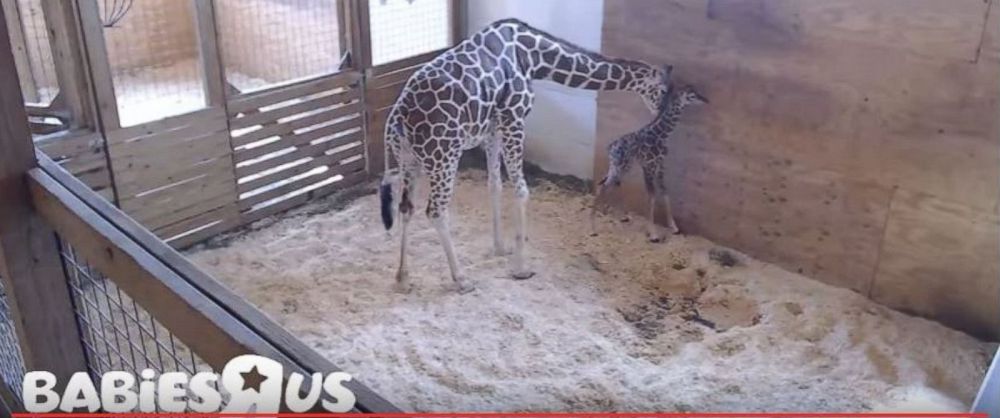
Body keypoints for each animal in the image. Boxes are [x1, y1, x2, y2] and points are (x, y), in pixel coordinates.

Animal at [378, 18, 673, 294]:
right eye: (662, 91)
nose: (660, 115)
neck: (533, 56)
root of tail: (398, 117)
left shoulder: (492, 129)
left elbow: (495, 185)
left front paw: (500, 248)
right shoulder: (514, 119)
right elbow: (521, 190)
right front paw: (521, 267)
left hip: (409, 160)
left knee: (406, 208)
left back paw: (402, 278)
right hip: (444, 157)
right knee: (436, 211)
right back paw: (461, 279)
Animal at [590, 83, 709, 242]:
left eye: (696, 91)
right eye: (692, 94)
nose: (705, 100)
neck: (662, 134)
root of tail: (610, 147)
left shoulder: (660, 165)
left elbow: (664, 191)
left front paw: (674, 227)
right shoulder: (648, 165)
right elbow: (652, 195)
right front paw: (653, 234)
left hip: (620, 167)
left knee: (603, 184)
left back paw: (618, 216)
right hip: (621, 167)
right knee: (604, 186)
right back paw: (593, 229)